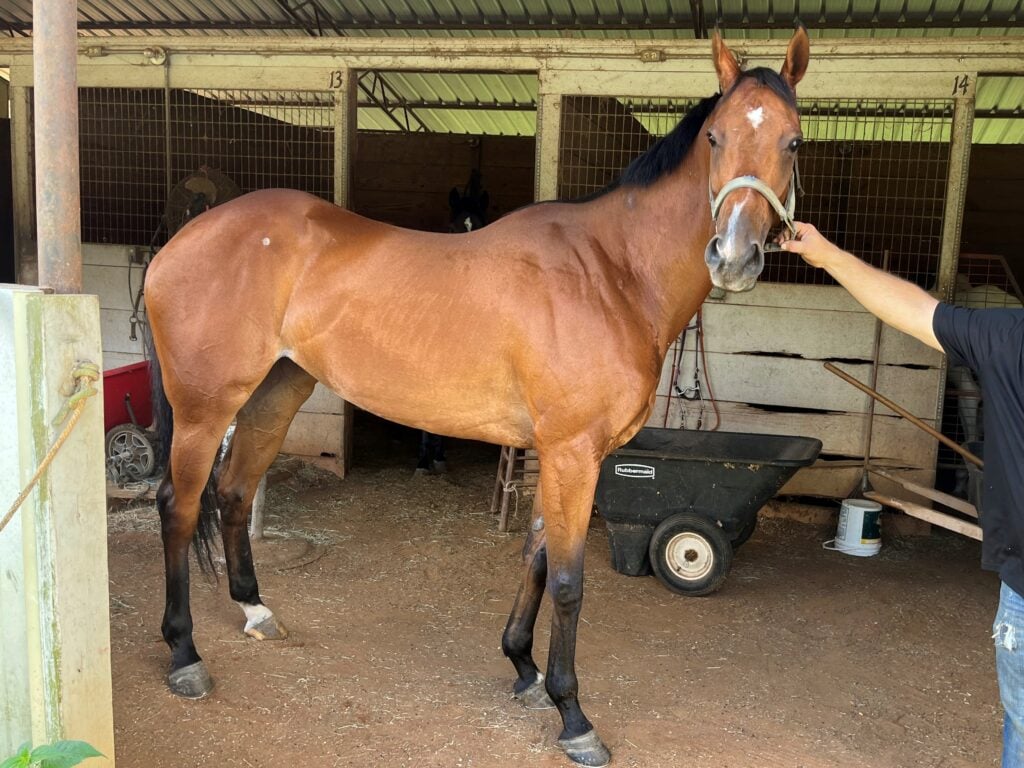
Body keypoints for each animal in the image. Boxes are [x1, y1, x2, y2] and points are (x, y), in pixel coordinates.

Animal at [144, 30, 811, 768]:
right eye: (716, 138)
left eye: (793, 141)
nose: (733, 256)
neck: (610, 272)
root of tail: (182, 238)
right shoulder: (573, 453)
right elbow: (570, 582)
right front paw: (573, 716)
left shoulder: (560, 453)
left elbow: (537, 557)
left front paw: (523, 669)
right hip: (205, 409)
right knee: (177, 507)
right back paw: (184, 654)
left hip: (273, 397)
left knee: (233, 493)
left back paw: (256, 612)